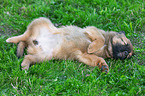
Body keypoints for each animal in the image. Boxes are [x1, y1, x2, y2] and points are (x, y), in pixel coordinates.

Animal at [6, 17, 134, 73]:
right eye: (124, 43)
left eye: (129, 55)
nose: (126, 53)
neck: (107, 47)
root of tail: (32, 41)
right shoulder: (92, 30)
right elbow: (100, 39)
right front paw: (92, 47)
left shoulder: (83, 55)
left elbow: (97, 58)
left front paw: (103, 66)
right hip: (41, 21)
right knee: (23, 36)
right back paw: (11, 39)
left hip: (44, 56)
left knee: (27, 55)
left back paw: (25, 66)